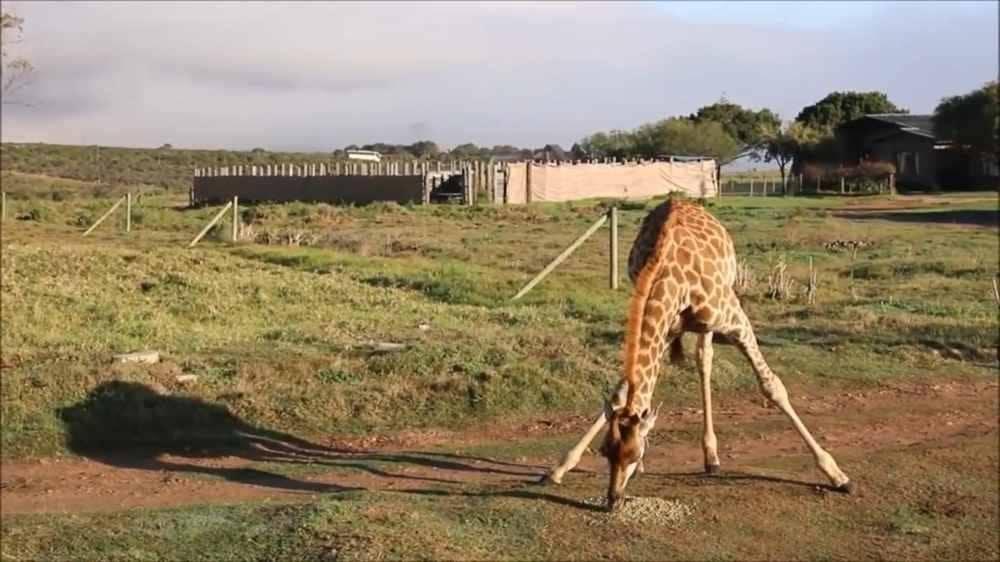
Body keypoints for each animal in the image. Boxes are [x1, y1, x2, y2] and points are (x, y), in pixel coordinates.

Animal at [544, 196, 856, 508]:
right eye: (605, 451)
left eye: (633, 453)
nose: (613, 500)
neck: (667, 276)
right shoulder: (667, 328)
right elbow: (621, 394)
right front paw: (560, 467)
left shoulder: (737, 322)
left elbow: (773, 387)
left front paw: (836, 474)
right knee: (700, 359)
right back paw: (709, 456)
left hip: (717, 312)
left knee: (705, 359)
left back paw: (713, 457)